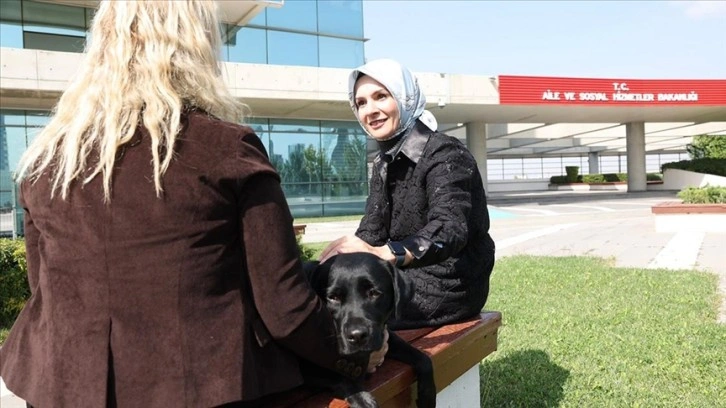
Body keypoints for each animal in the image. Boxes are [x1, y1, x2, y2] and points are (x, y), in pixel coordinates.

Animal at [302, 252, 438, 408]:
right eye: (333, 297)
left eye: (374, 293)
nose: (357, 336)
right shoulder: (308, 368)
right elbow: (341, 378)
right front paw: (363, 400)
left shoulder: (384, 336)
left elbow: (423, 358)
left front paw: (427, 397)